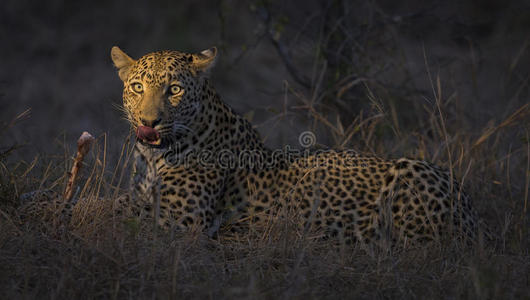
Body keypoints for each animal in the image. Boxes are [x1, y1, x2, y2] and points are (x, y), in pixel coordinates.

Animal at [18, 45, 484, 245]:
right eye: (136, 87)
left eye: (173, 90)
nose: (149, 122)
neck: (152, 156)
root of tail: (471, 207)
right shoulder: (141, 196)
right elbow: (99, 201)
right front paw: (40, 200)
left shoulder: (178, 218)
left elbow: (103, 213)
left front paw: (47, 211)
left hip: (409, 174)